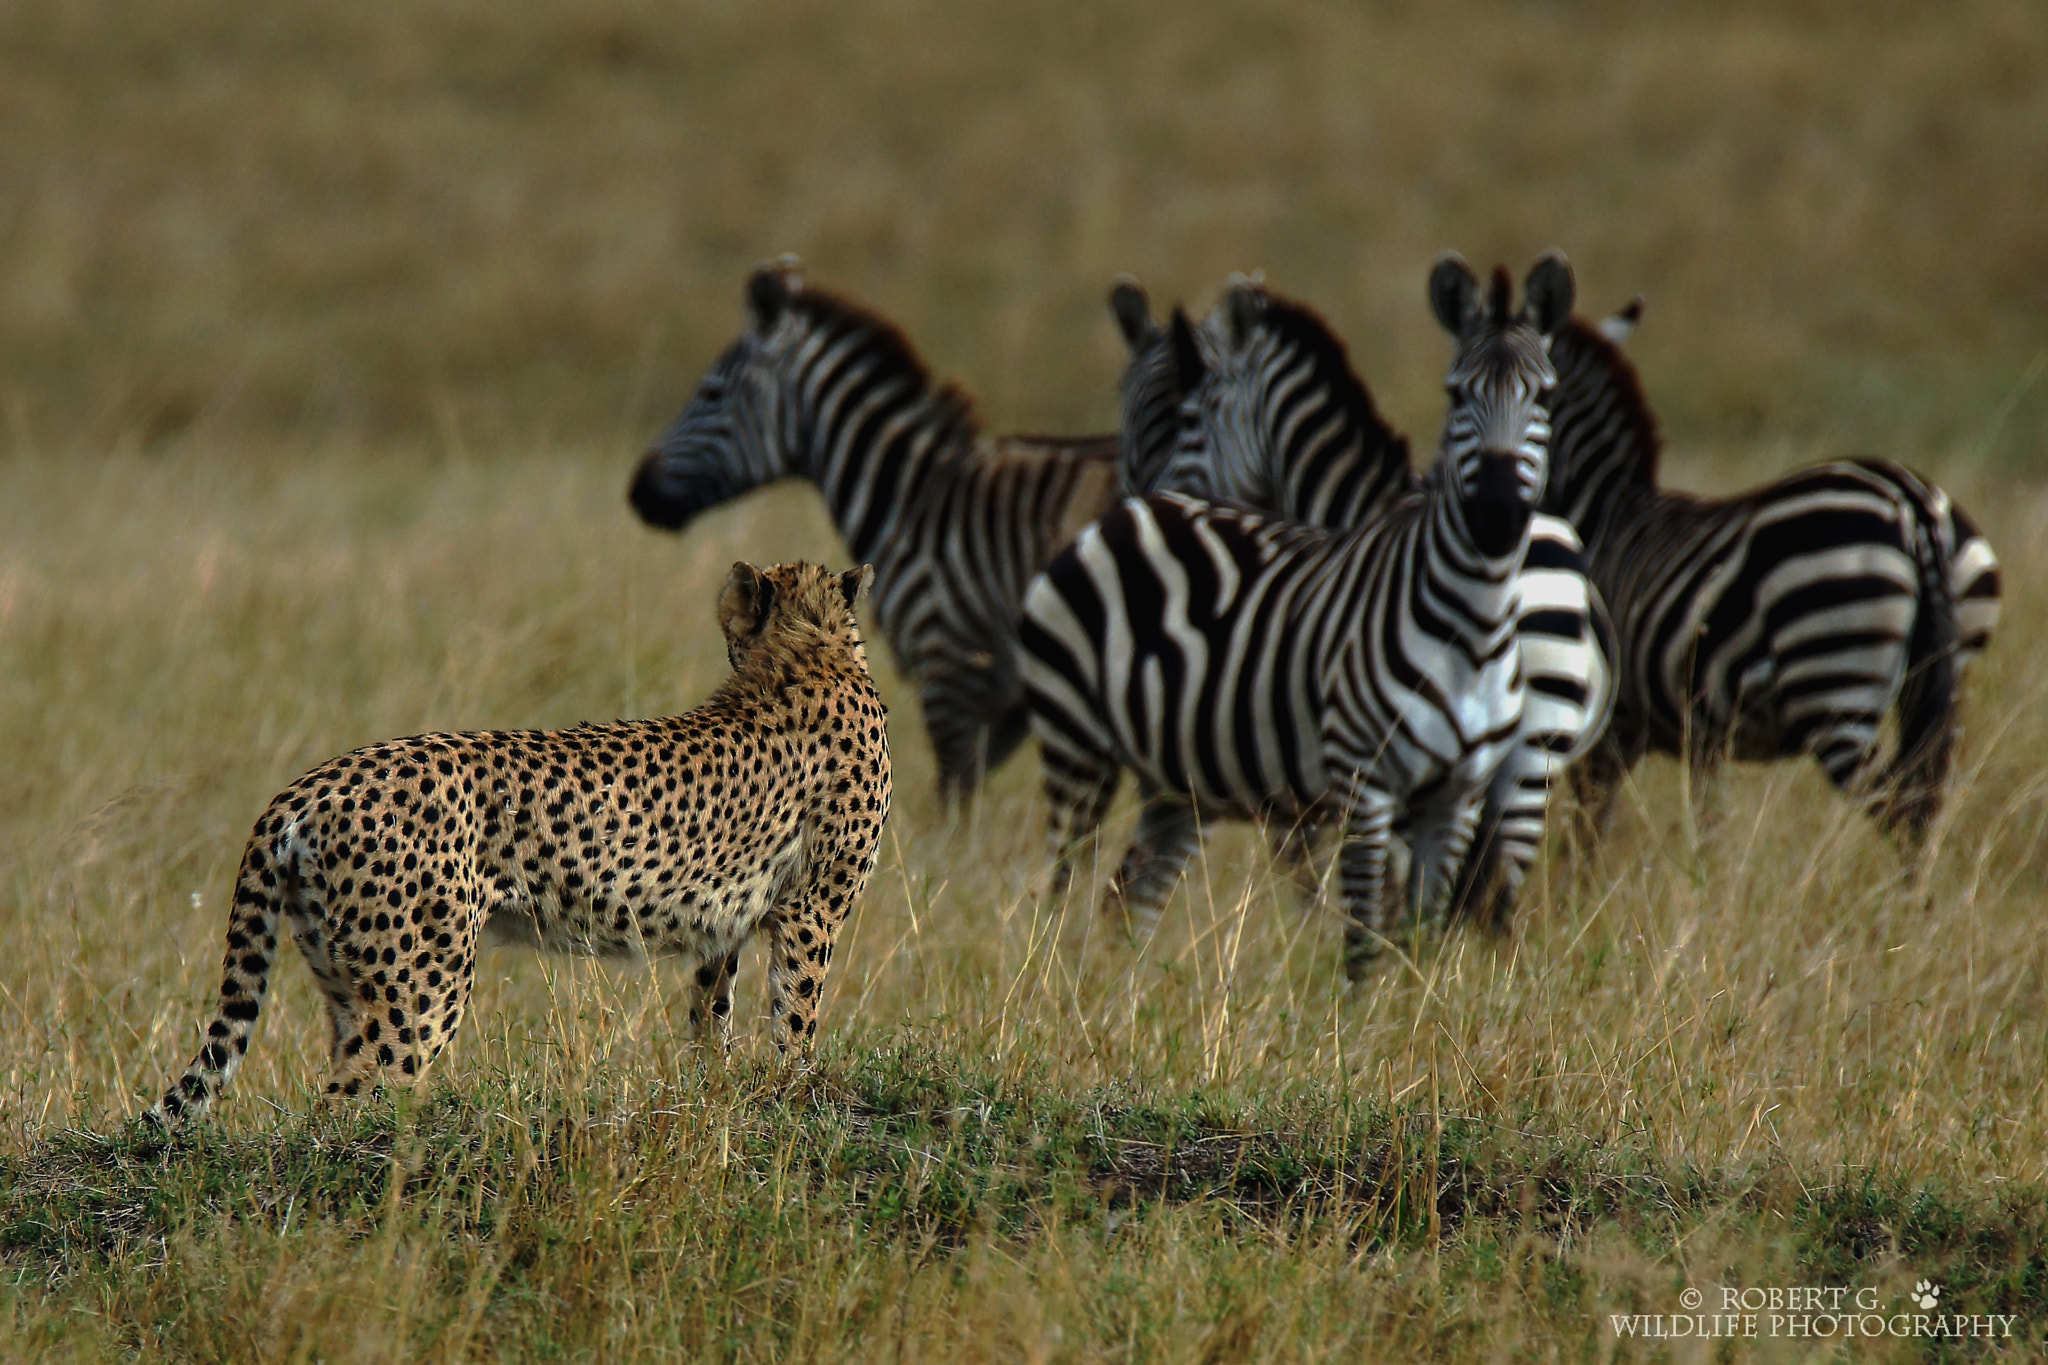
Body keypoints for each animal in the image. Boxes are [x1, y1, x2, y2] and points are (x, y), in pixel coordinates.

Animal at [151, 560, 888, 1129]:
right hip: (424, 985)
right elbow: (796, 1012)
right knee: (348, 1099)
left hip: (345, 977)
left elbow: (712, 1016)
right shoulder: (811, 909)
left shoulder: (726, 927)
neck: (810, 651)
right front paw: (795, 1095)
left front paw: (717, 1094)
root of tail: (309, 783)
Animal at [634, 258, 1130, 802]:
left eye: (711, 392)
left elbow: (953, 802)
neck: (913, 498)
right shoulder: (1005, 700)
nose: (639, 491)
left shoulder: (949, 667)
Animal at [1024, 255, 1581, 978]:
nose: (1496, 517)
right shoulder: (1342, 776)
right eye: (1455, 395)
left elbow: (1385, 914)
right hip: (1092, 744)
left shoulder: (1407, 788)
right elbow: (1358, 912)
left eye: (1188, 417)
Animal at [1540, 296, 1998, 843]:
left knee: (1900, 808)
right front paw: (1704, 868)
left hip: (1834, 678)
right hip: (1946, 678)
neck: (1605, 511)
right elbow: (1707, 823)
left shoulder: (1611, 723)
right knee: (1929, 801)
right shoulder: (1703, 738)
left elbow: (1585, 831)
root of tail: (1913, 503)